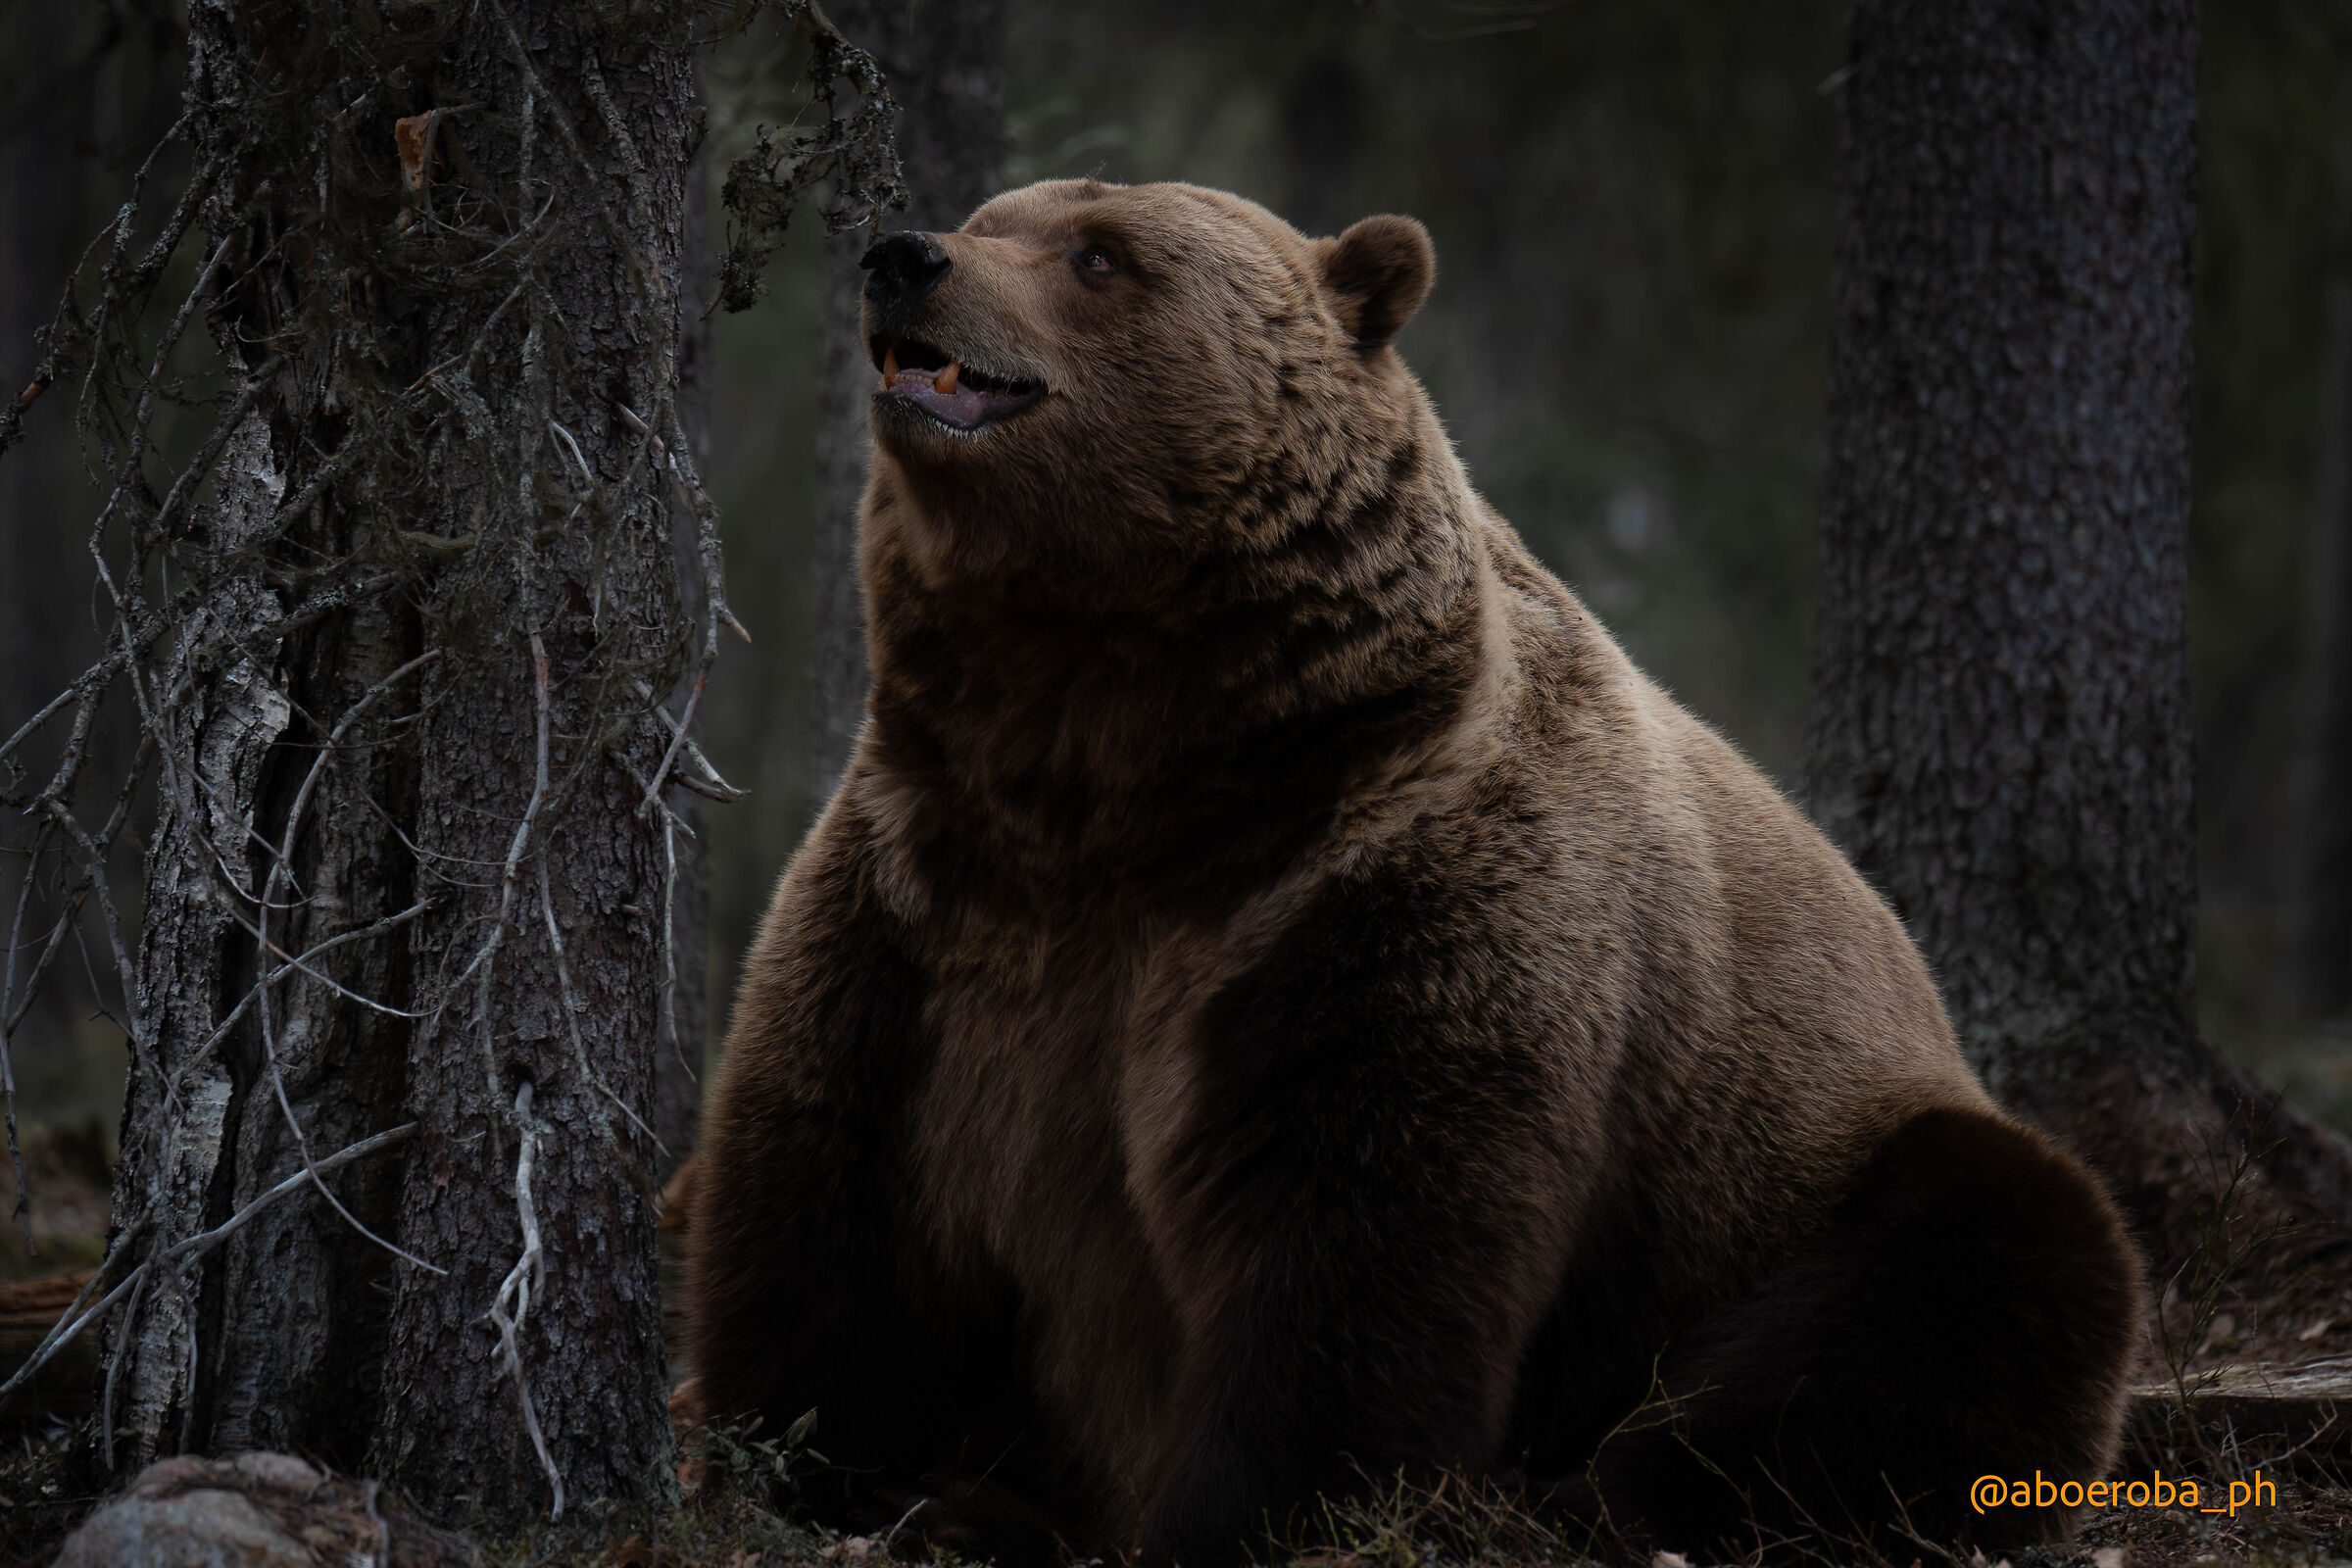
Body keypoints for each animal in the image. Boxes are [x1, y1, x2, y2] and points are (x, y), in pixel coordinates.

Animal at [683, 179, 2144, 1565]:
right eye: (998, 216)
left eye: (1100, 252)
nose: (905, 257)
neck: (1126, 761)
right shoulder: (931, 897)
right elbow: (823, 1175)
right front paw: (815, 1466)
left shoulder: (1390, 889)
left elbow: (1361, 1224)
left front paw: (1255, 1511)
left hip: (1812, 1172)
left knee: (1980, 1270)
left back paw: (1599, 1494)